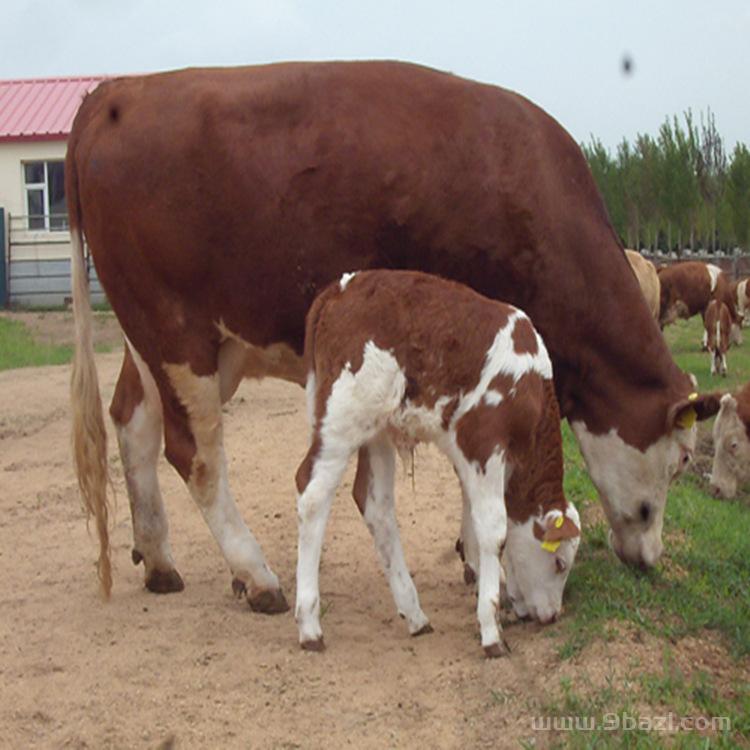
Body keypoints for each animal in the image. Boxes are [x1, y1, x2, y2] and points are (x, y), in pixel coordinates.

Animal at [67, 60, 720, 612]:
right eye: (684, 459)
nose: (652, 558)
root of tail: (118, 91)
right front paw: (479, 556)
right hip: (178, 338)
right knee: (196, 456)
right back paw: (257, 576)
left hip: (167, 343)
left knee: (134, 423)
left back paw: (158, 558)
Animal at [294, 270, 580, 656]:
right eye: (559, 562)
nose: (552, 616)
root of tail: (340, 289)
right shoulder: (483, 443)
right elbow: (494, 529)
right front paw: (491, 629)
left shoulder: (467, 455)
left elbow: (475, 521)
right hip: (342, 417)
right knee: (312, 494)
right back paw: (310, 625)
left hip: (377, 429)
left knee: (375, 505)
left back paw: (415, 615)